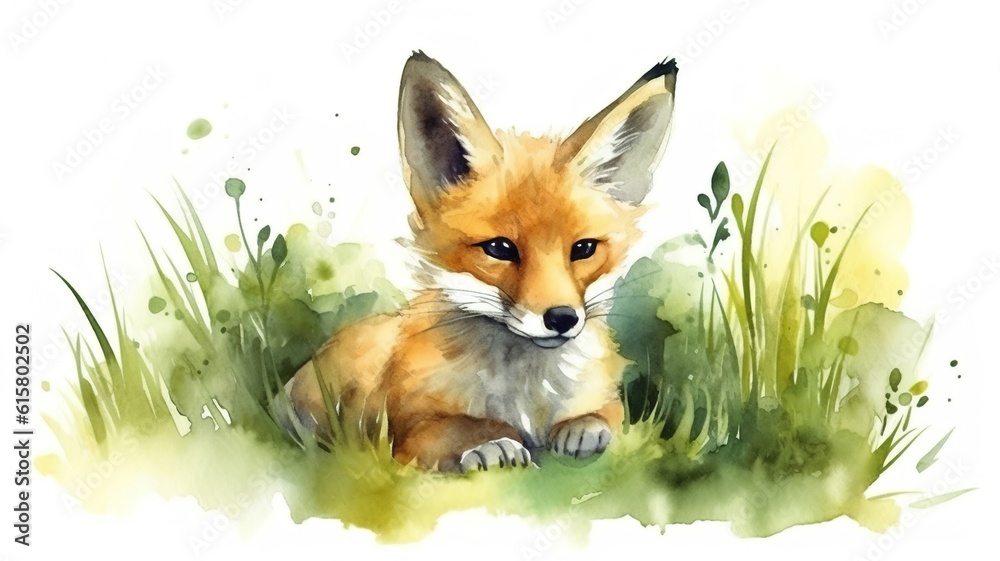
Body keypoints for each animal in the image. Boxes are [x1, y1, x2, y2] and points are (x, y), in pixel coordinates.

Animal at [287, 51, 677, 472]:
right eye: (501, 248)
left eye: (584, 248)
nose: (562, 318)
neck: (526, 396)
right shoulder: (405, 434)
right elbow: (458, 427)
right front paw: (492, 443)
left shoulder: (604, 401)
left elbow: (606, 414)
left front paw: (584, 428)